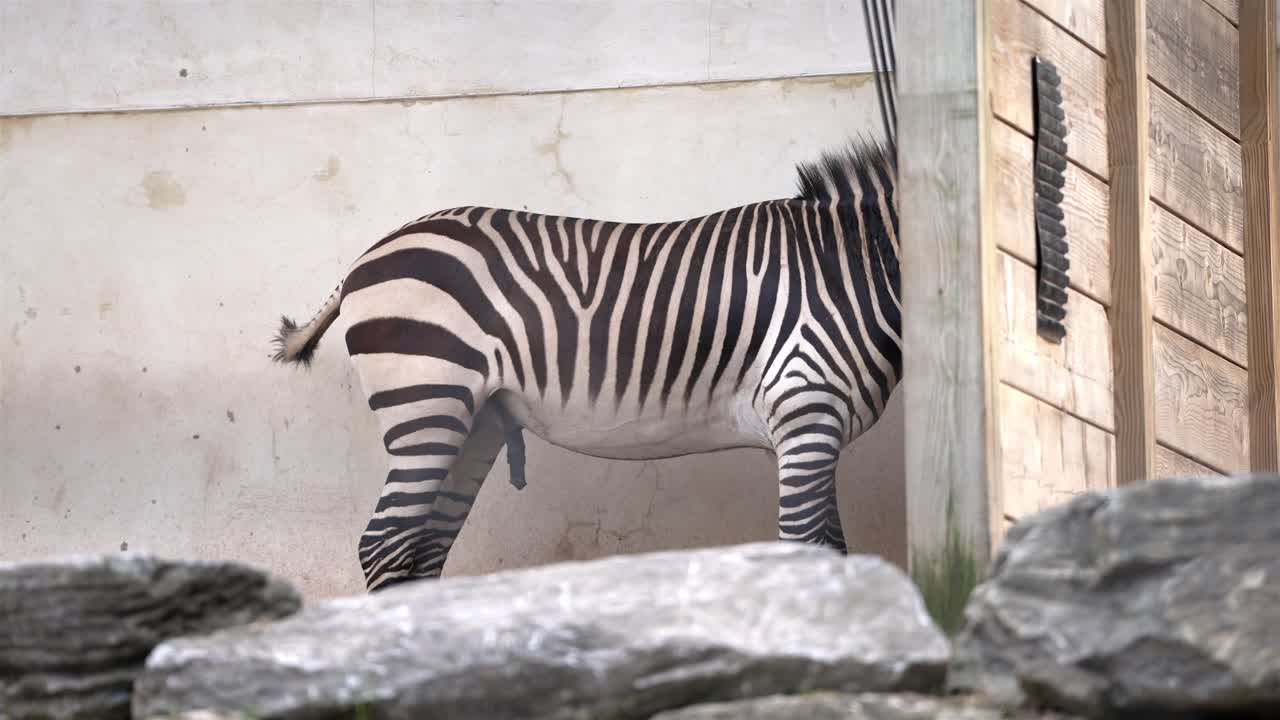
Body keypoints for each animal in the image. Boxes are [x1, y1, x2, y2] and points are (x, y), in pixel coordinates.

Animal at [272, 139, 900, 592]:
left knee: (422, 549)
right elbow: (810, 552)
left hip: (469, 421)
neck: (854, 270)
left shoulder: (812, 431)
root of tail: (367, 256)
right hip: (426, 403)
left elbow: (836, 551)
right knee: (384, 544)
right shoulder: (806, 415)